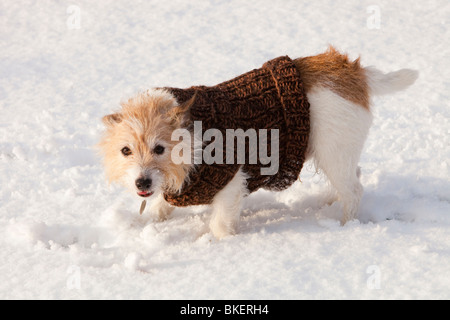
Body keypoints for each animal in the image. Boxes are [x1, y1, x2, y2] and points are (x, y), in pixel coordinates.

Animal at [98, 47, 418, 238]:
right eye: (125, 150)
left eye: (159, 148)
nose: (141, 182)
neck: (192, 138)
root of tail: (351, 70)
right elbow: (161, 207)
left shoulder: (230, 182)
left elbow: (220, 224)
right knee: (354, 176)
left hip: (334, 152)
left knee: (354, 190)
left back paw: (344, 226)